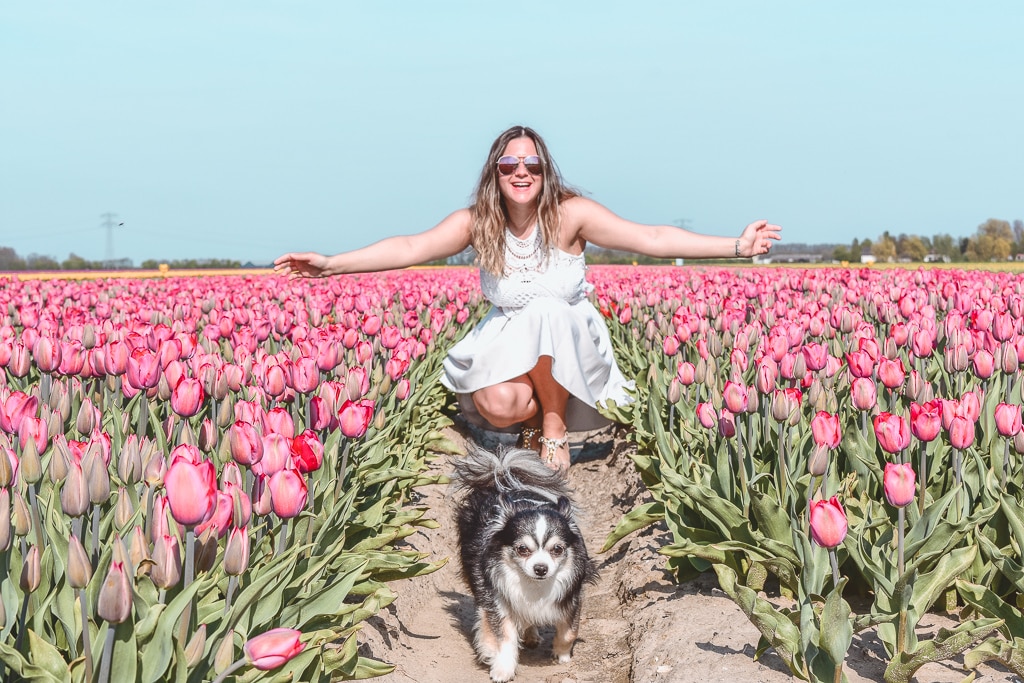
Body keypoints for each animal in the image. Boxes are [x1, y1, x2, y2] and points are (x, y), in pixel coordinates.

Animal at [450, 446, 598, 679]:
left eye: (557, 549)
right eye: (522, 549)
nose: (540, 568)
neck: (533, 585)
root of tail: (502, 476)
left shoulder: (572, 598)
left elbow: (569, 631)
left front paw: (562, 655)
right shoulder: (496, 599)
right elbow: (503, 637)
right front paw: (502, 668)